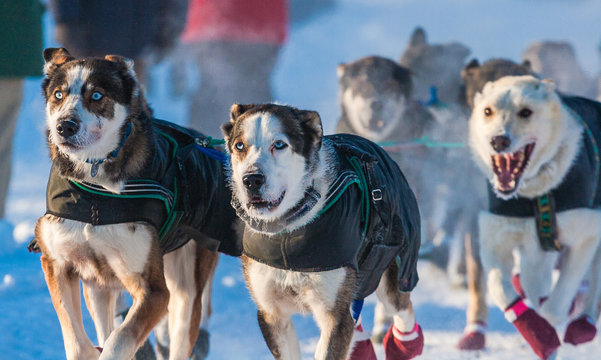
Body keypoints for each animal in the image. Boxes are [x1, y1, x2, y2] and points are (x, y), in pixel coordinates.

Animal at [34, 48, 239, 360]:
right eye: (59, 94)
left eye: (97, 95)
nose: (65, 126)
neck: (97, 188)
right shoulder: (58, 264)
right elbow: (78, 341)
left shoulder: (153, 290)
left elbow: (119, 341)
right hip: (98, 288)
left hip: (186, 286)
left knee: (181, 331)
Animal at [223, 102, 424, 358]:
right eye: (240, 145)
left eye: (279, 144)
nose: (252, 179)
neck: (289, 233)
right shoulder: (271, 313)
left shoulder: (334, 316)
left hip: (391, 271)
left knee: (402, 311)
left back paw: (405, 345)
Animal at [468, 74, 600, 358]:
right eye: (487, 111)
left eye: (526, 112)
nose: (499, 141)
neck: (536, 193)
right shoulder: (496, 240)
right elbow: (500, 287)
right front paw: (535, 329)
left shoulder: (587, 236)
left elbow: (557, 303)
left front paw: (547, 329)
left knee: (594, 282)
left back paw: (584, 323)